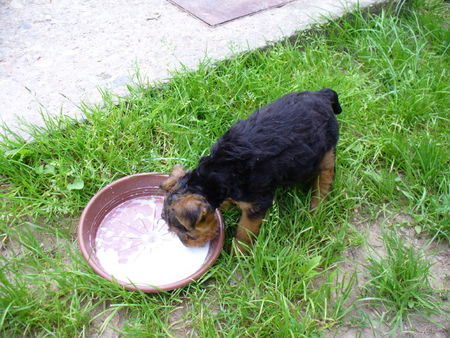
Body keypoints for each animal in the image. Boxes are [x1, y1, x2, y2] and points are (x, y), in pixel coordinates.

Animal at [162, 88, 342, 250]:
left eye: (188, 234)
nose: (189, 246)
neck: (217, 173)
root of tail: (321, 95)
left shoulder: (256, 204)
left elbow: (244, 232)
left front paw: (239, 254)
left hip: (326, 151)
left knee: (325, 178)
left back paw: (316, 208)